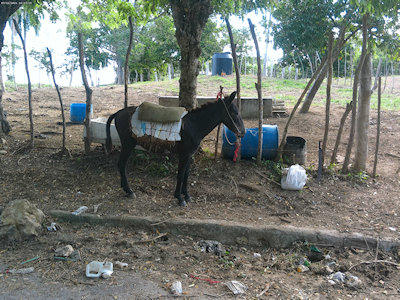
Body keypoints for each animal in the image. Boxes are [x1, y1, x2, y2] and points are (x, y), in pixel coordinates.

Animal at [105, 91, 244, 206]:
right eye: (235, 112)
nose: (242, 132)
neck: (194, 125)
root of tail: (118, 112)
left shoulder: (189, 155)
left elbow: (186, 175)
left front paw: (187, 196)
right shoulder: (184, 155)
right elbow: (180, 175)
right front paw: (179, 198)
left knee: (121, 164)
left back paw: (125, 189)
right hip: (128, 145)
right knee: (121, 164)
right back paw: (129, 191)